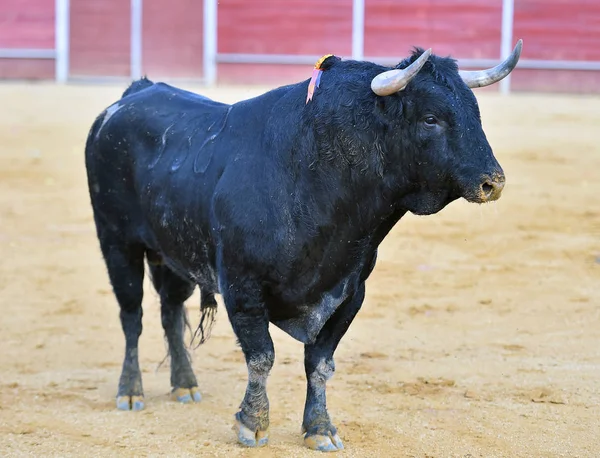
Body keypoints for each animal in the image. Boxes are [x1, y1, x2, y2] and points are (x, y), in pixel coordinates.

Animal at [83, 41, 520, 452]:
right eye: (431, 118)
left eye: (475, 113)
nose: (493, 182)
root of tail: (131, 95)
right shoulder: (242, 288)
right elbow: (261, 356)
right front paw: (253, 424)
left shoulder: (349, 292)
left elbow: (320, 363)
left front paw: (320, 429)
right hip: (116, 242)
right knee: (132, 315)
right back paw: (130, 391)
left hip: (172, 254)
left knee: (171, 310)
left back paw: (185, 385)